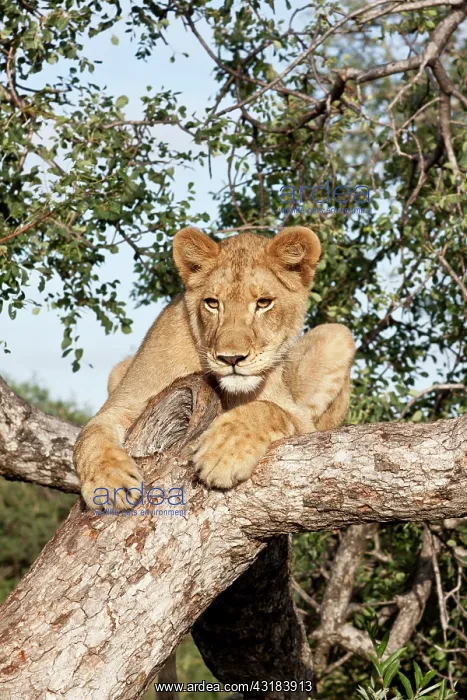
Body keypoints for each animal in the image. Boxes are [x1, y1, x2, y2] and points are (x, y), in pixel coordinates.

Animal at [74, 226, 356, 510]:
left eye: (263, 303)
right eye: (212, 303)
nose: (231, 358)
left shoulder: (301, 422)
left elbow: (269, 409)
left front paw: (224, 451)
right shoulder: (127, 402)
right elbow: (90, 435)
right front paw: (109, 481)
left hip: (338, 334)